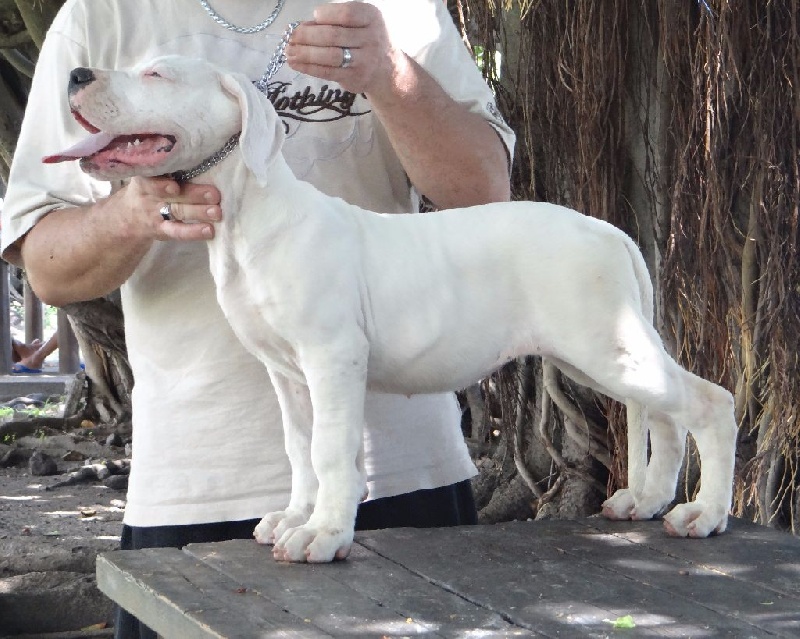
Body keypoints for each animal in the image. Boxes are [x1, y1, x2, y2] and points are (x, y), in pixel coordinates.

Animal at [45, 57, 736, 564]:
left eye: (157, 74)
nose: (76, 75)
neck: (251, 217)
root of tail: (606, 229)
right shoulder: (287, 373)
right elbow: (300, 449)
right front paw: (296, 516)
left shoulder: (333, 359)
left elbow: (331, 451)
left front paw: (324, 534)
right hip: (599, 351)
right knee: (665, 414)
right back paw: (647, 500)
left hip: (604, 344)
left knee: (709, 403)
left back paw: (704, 513)